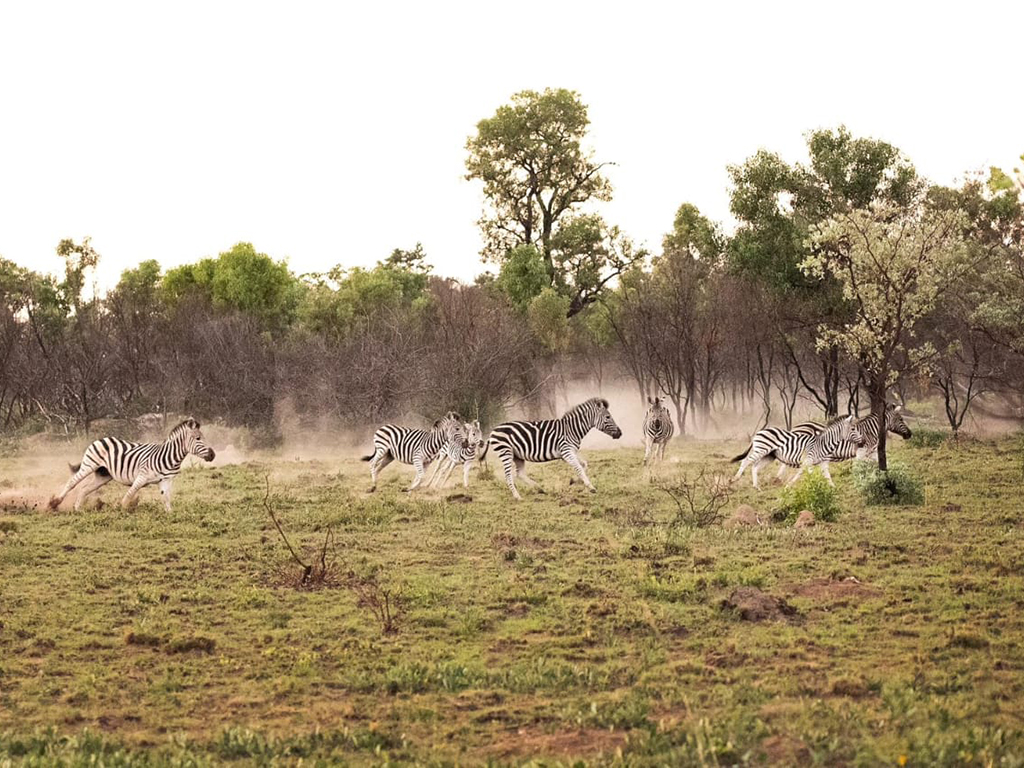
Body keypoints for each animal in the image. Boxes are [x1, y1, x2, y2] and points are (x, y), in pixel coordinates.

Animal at [48, 417, 216, 512]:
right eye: (198, 438)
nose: (213, 455)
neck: (169, 457)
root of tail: (100, 438)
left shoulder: (166, 480)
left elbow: (166, 498)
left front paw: (170, 515)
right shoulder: (141, 477)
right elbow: (129, 494)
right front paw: (120, 510)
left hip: (103, 475)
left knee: (85, 488)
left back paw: (77, 509)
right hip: (89, 464)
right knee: (72, 482)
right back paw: (55, 503)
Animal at [484, 397, 622, 500]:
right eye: (608, 417)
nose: (620, 433)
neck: (572, 429)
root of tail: (493, 431)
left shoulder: (569, 452)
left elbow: (584, 465)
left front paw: (574, 481)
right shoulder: (566, 451)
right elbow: (578, 467)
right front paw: (590, 487)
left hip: (518, 455)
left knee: (520, 474)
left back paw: (539, 488)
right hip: (505, 452)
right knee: (508, 476)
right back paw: (517, 496)